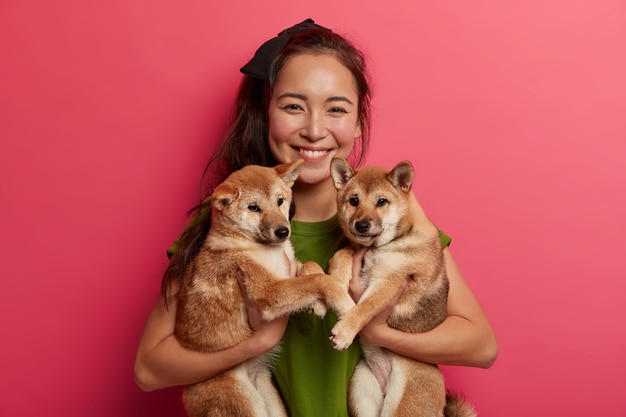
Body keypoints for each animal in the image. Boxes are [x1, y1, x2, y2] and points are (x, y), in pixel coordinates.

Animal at [173, 160, 354, 416]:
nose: (283, 231)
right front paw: (345, 303)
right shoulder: (268, 291)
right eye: (253, 208)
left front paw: (319, 304)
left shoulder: (290, 270)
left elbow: (313, 268)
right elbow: (318, 281)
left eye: (280, 200)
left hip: (272, 402)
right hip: (243, 403)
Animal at [326, 157, 472, 416]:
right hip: (361, 390)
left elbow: (365, 307)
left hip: (403, 404)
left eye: (382, 201)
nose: (361, 225)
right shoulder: (357, 251)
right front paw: (337, 282)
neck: (382, 246)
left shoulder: (390, 281)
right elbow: (342, 254)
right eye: (354, 200)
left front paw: (345, 330)